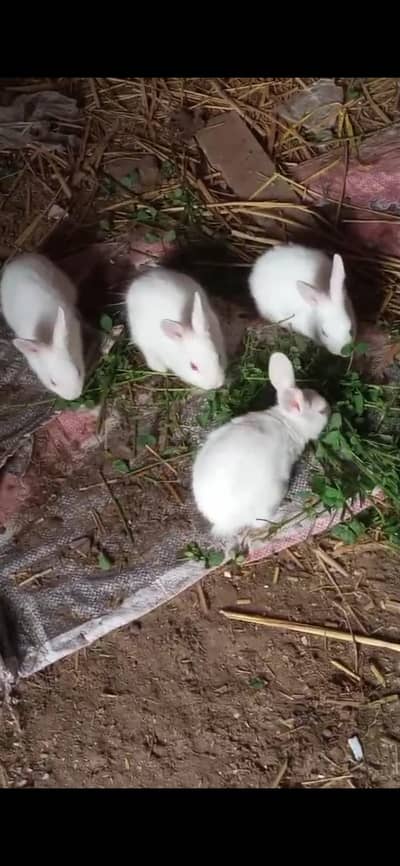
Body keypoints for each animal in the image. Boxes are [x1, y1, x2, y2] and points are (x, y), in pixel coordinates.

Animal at [192, 352, 329, 538]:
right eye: (321, 411)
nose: (330, 408)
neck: (289, 423)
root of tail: (222, 522)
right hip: (272, 495)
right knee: (260, 521)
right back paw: (282, 514)